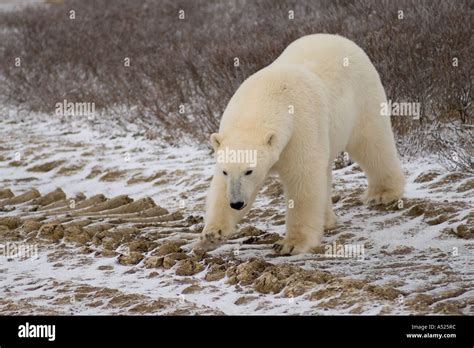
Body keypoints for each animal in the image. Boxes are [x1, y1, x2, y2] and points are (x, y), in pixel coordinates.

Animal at [193, 34, 404, 254]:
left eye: (249, 171)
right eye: (226, 171)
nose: (236, 203)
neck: (266, 95)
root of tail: (337, 37)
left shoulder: (300, 128)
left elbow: (303, 179)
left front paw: (292, 244)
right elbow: (219, 187)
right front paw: (212, 233)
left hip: (363, 93)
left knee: (372, 142)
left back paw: (382, 194)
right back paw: (326, 220)